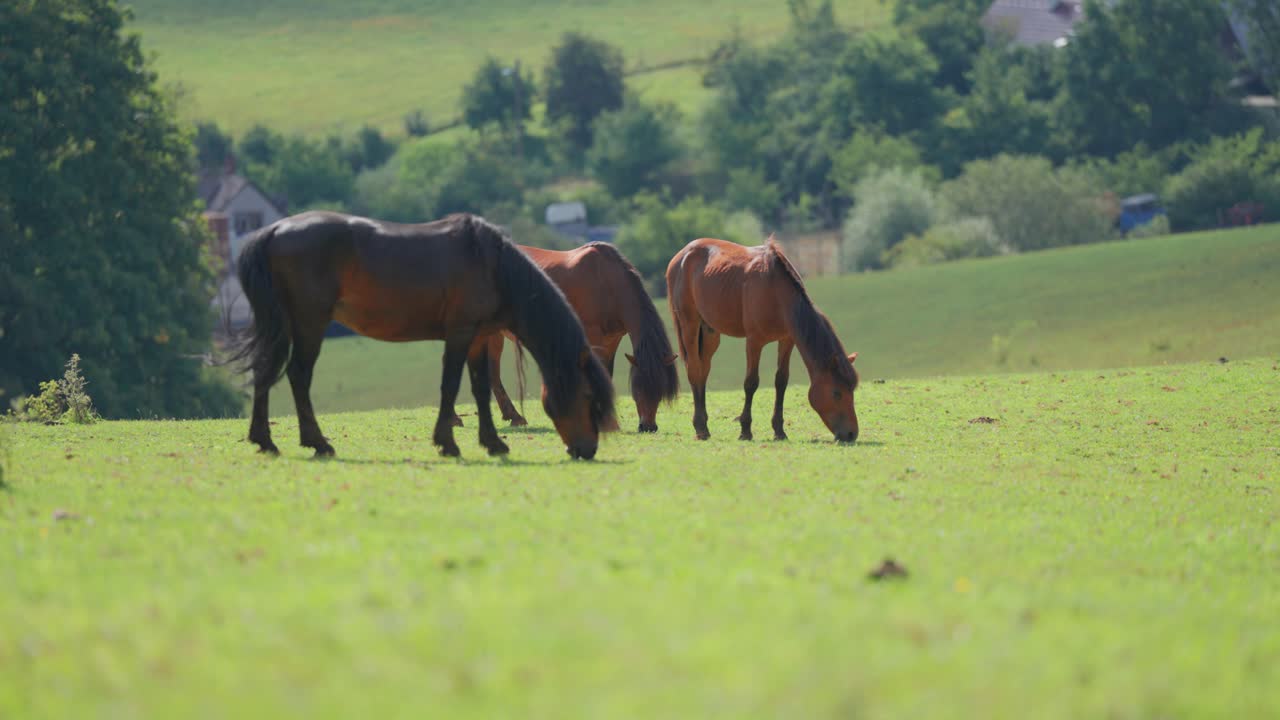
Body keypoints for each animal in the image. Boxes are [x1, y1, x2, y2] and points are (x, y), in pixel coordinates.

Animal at [227, 211, 616, 460]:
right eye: (587, 395)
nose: (587, 450)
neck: (492, 265)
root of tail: (273, 231)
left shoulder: (478, 338)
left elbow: (480, 390)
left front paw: (493, 443)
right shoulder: (460, 334)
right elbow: (451, 386)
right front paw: (448, 443)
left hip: (284, 325)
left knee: (265, 370)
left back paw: (265, 441)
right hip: (310, 323)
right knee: (298, 376)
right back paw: (317, 443)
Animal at [465, 242, 679, 433]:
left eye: (661, 390)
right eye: (638, 389)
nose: (648, 427)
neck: (607, 281)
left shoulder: (612, 340)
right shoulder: (593, 337)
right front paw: (606, 423)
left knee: (492, 372)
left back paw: (513, 416)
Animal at [665, 236, 859, 443]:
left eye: (852, 390)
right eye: (837, 393)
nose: (851, 434)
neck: (776, 291)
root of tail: (681, 255)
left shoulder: (787, 340)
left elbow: (781, 381)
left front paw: (779, 430)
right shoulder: (754, 342)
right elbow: (751, 383)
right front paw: (745, 430)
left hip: (710, 332)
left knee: (703, 371)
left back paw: (704, 425)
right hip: (690, 325)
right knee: (694, 369)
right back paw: (701, 428)